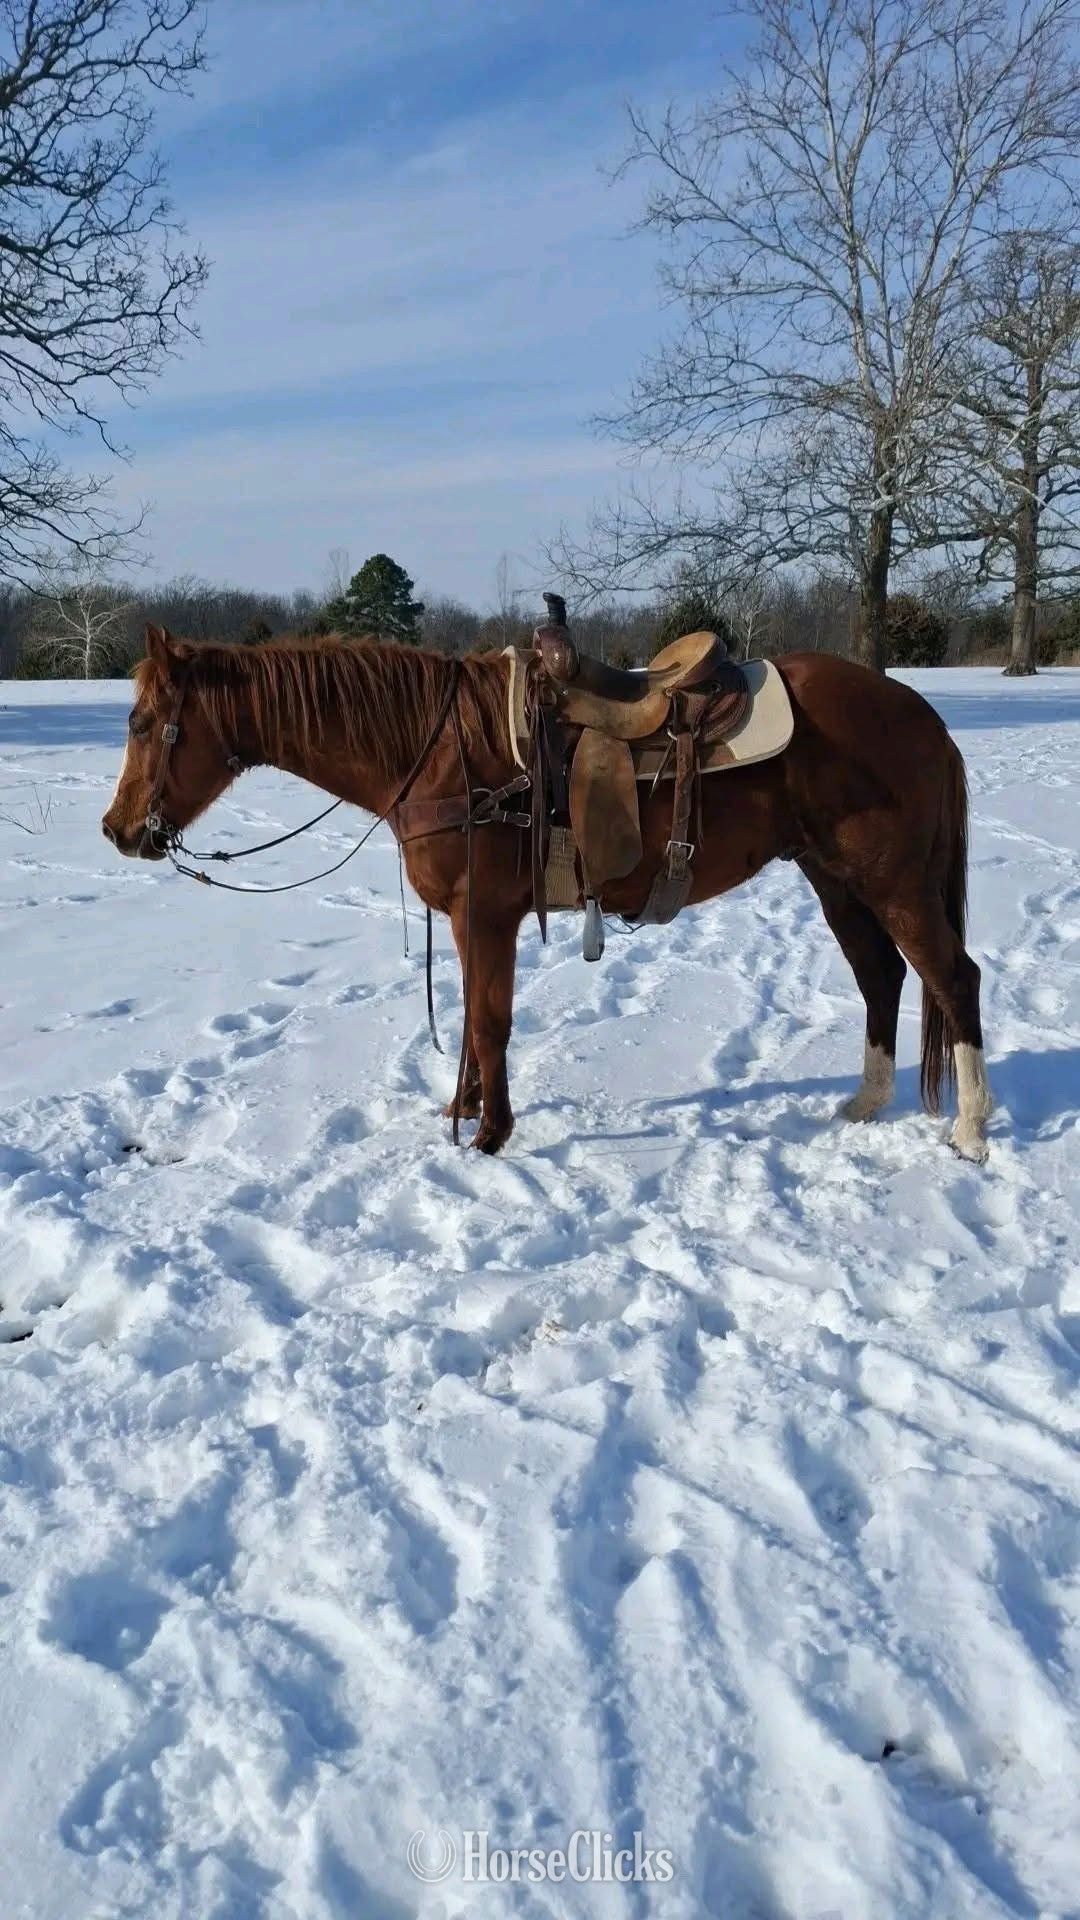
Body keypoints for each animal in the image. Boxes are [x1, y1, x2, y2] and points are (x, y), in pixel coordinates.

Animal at [102, 623, 994, 1161]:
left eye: (143, 724)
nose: (117, 829)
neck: (440, 751)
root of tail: (919, 714)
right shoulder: (469, 921)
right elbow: (472, 1019)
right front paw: (462, 1112)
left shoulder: (487, 915)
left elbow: (490, 1023)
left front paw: (490, 1134)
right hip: (834, 877)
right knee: (881, 976)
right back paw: (864, 1104)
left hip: (892, 879)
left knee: (953, 979)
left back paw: (973, 1130)